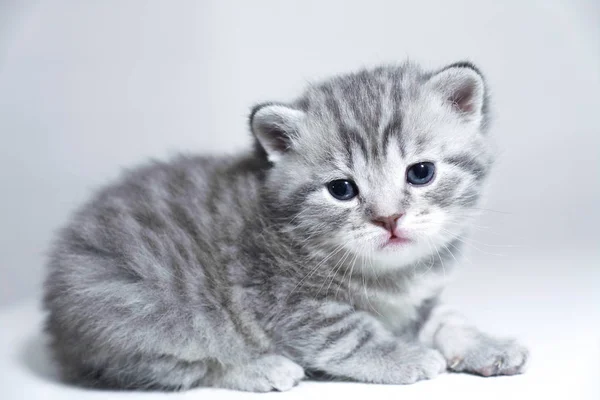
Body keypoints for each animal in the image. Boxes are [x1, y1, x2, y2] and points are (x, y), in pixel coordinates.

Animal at [43, 61, 528, 392]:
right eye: (342, 189)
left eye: (421, 172)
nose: (388, 218)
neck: (393, 275)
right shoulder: (289, 302)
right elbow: (350, 335)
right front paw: (407, 356)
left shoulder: (420, 298)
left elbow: (446, 318)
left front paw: (486, 344)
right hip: (140, 312)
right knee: (178, 366)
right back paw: (260, 367)